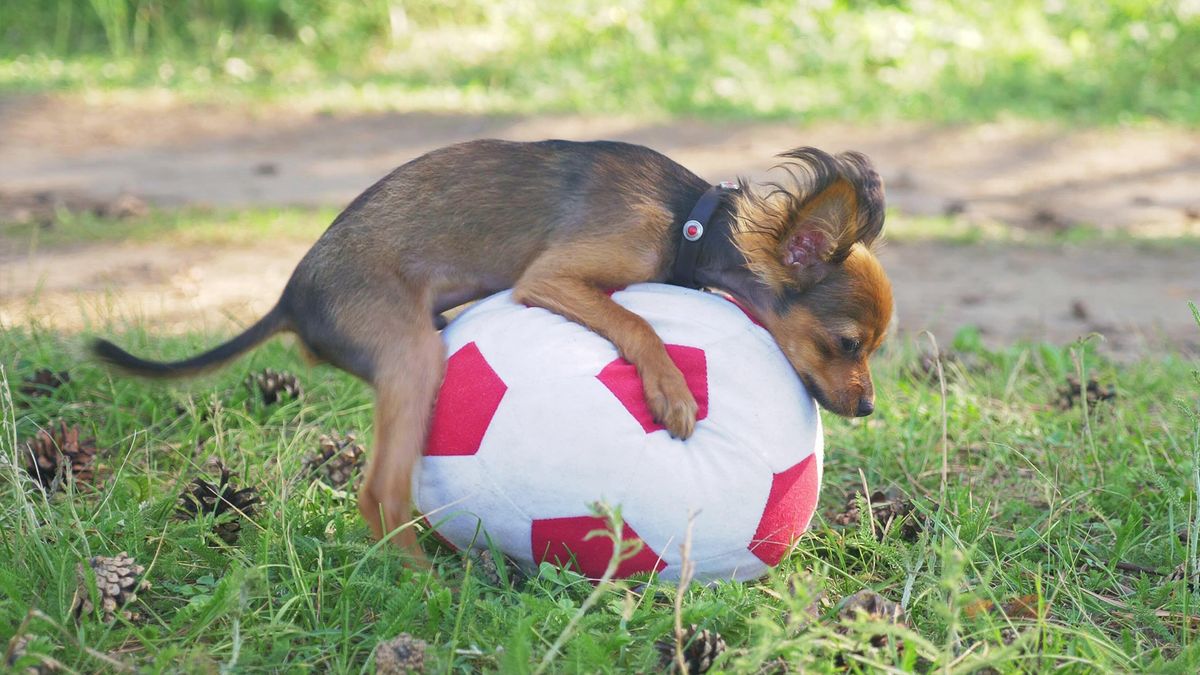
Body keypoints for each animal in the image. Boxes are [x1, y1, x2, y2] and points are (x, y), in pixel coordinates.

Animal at [93, 139, 897, 564]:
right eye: (846, 343)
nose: (867, 406)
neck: (690, 226)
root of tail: (291, 299)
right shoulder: (551, 279)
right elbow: (634, 322)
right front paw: (671, 388)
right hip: (413, 355)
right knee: (379, 491)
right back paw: (422, 580)